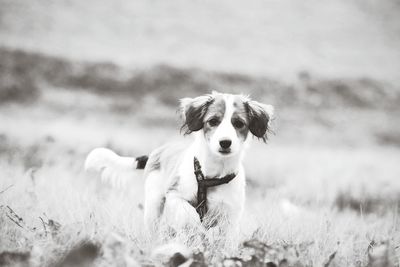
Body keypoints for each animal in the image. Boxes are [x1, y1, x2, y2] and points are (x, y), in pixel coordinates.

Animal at [85, 91, 274, 237]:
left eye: (239, 123)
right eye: (213, 121)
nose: (225, 143)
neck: (210, 176)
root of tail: (159, 151)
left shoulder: (230, 216)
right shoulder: (174, 194)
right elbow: (188, 214)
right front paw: (195, 228)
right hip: (154, 204)